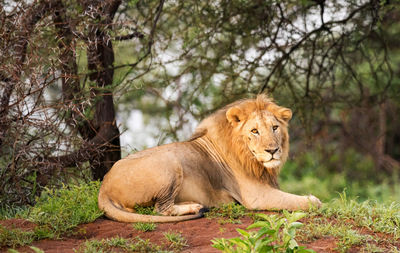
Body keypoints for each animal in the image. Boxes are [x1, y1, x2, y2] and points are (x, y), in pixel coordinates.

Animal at [99, 94, 322, 221]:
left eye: (275, 128)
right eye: (255, 131)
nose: (273, 150)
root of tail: (104, 186)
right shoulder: (256, 196)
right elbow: (310, 202)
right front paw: (314, 200)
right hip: (170, 163)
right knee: (160, 209)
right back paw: (195, 207)